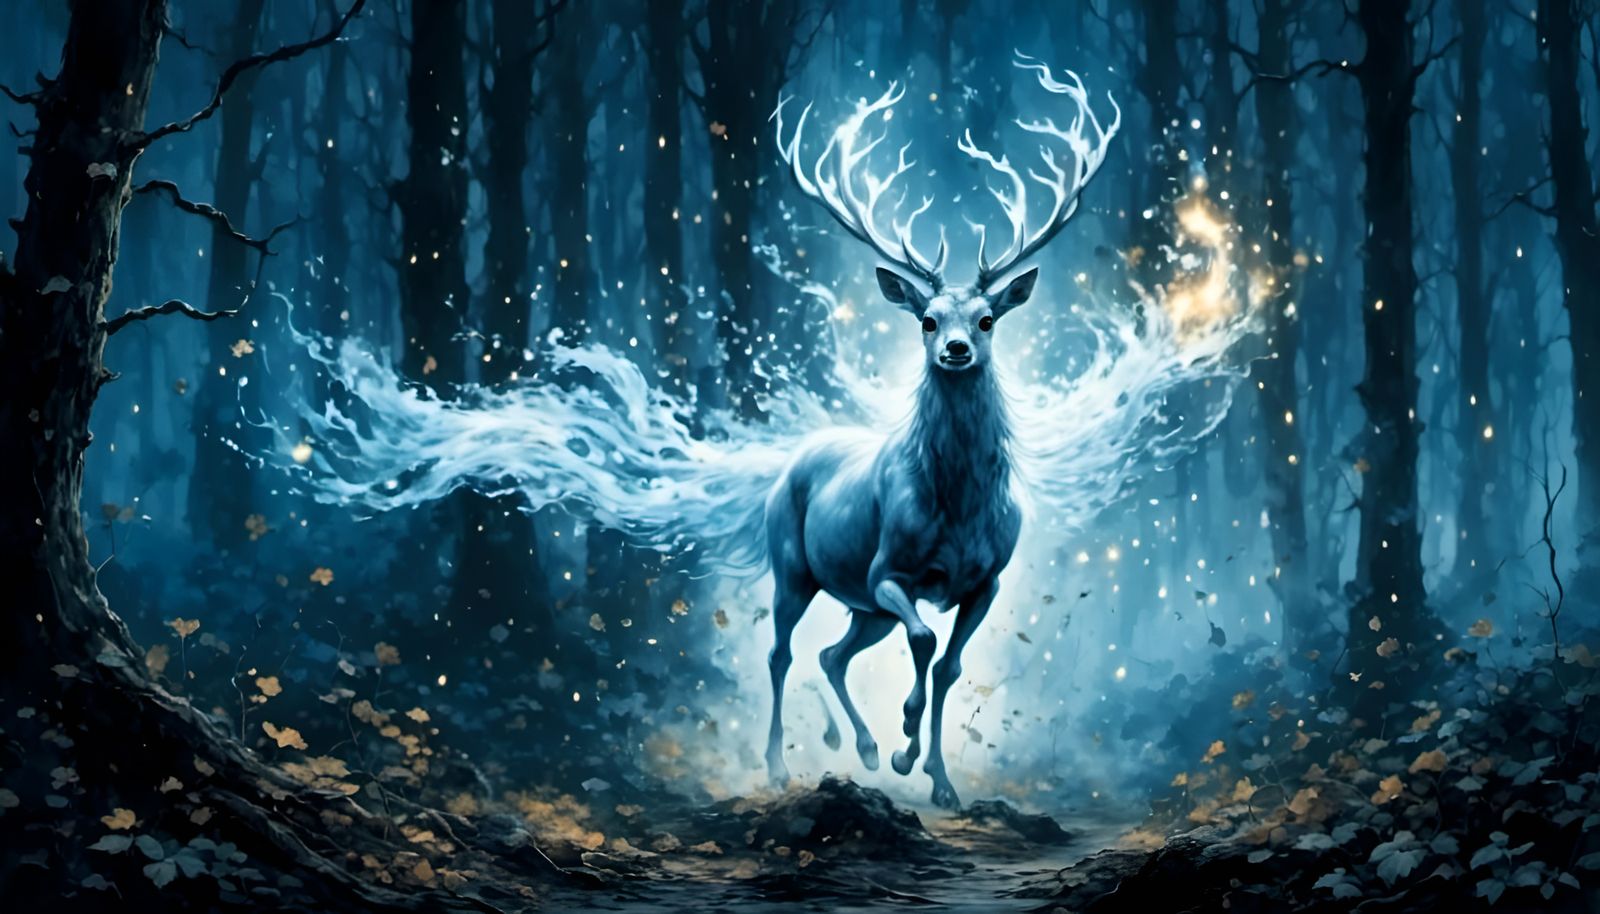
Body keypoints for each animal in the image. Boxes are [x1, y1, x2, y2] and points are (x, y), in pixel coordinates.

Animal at [761, 55, 1119, 809]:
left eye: (987, 319)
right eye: (927, 319)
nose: (955, 348)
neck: (955, 509)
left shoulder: (987, 581)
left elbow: (952, 665)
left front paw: (938, 779)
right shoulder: (887, 571)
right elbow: (925, 640)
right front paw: (903, 741)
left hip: (857, 603)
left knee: (832, 652)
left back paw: (861, 746)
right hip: (792, 563)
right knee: (783, 650)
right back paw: (782, 765)